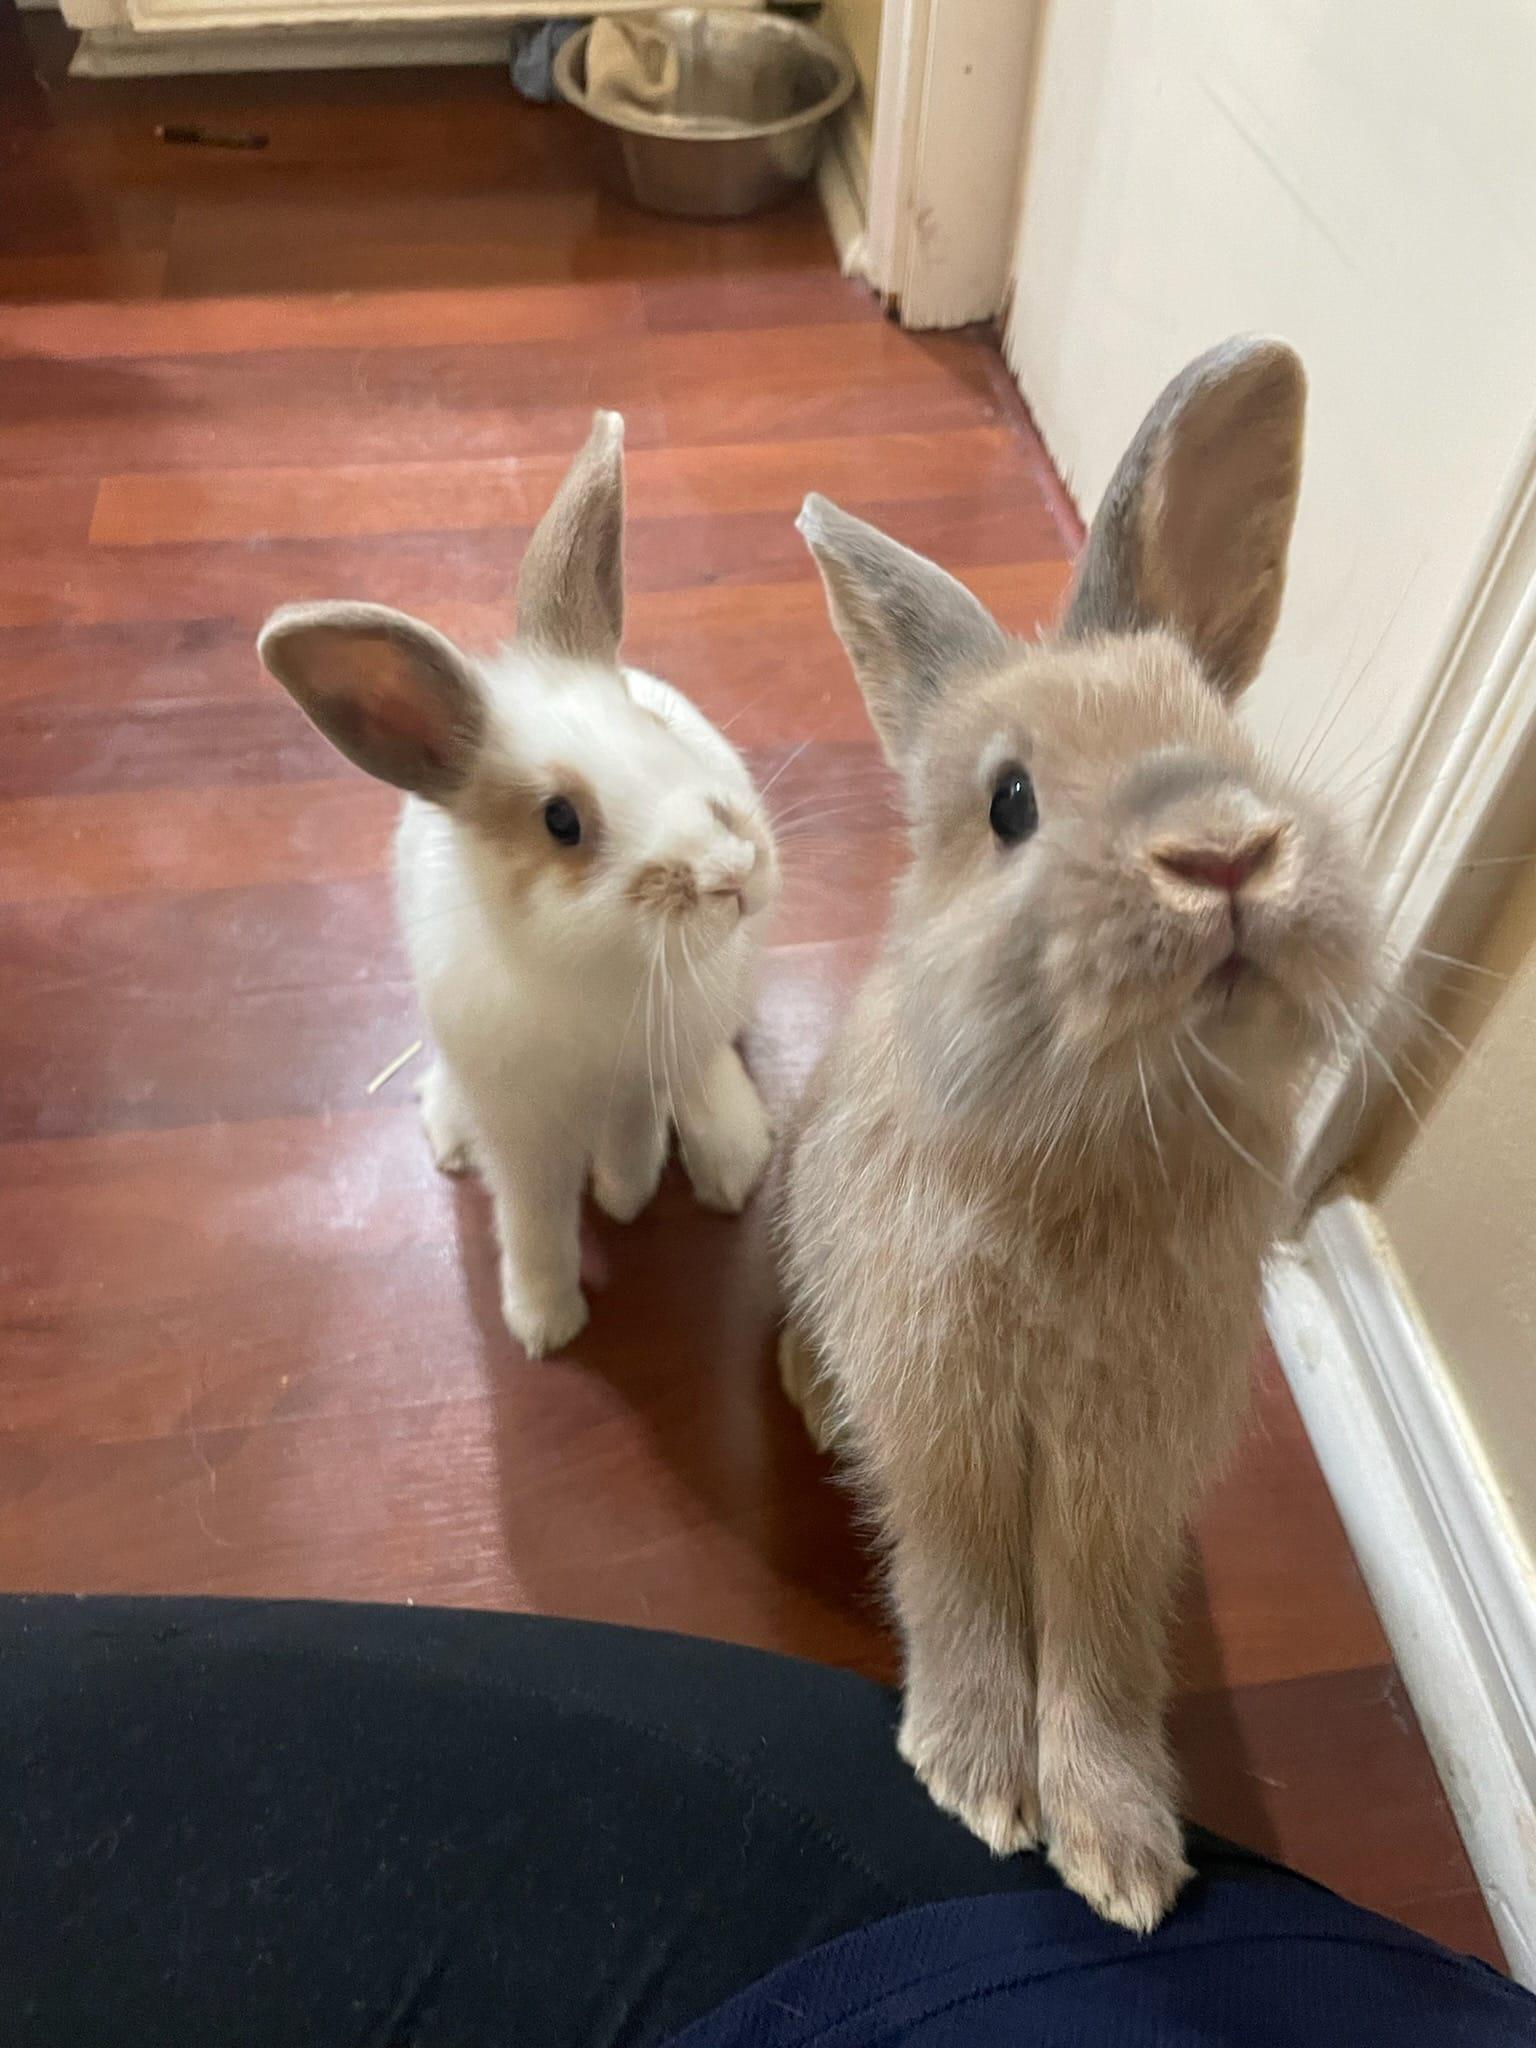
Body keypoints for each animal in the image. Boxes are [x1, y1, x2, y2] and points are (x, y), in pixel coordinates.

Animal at [258, 410, 779, 1358]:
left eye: (651, 728)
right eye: (560, 821)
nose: (733, 872)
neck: (600, 978)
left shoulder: (640, 1078)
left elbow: (634, 1138)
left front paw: (624, 1195)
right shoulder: (523, 1133)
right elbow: (534, 1222)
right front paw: (544, 1326)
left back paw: (730, 1155)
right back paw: (447, 1128)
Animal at [777, 338, 1379, 1934]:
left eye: (1228, 743)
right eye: (1011, 803)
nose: (1224, 855)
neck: (1101, 1123)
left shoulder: (1123, 1462)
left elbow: (1101, 1632)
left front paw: (1120, 1852)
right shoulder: (943, 1411)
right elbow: (959, 1580)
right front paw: (977, 1778)